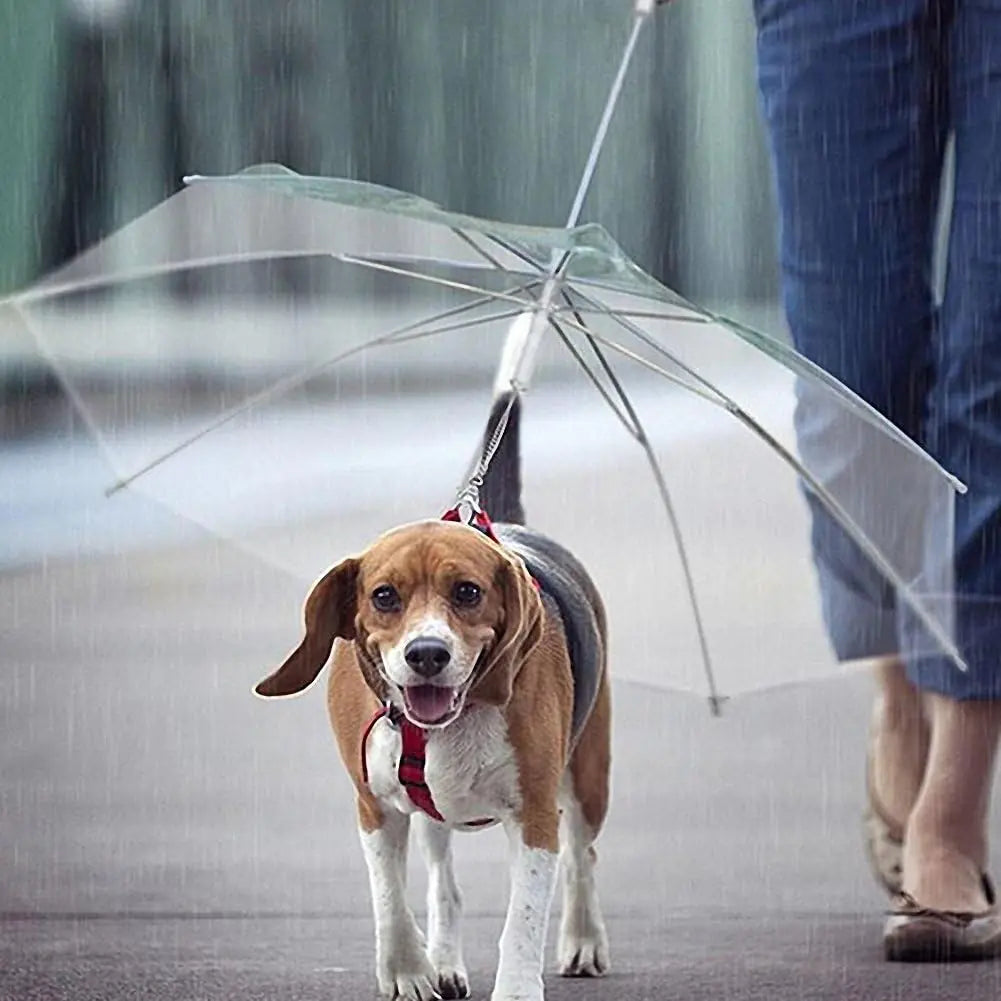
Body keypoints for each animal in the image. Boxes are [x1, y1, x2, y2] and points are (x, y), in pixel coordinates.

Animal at [256, 390, 608, 1001]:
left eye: (467, 592)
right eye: (383, 596)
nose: (426, 654)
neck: (445, 721)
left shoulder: (536, 813)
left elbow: (524, 919)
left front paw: (517, 988)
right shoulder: (373, 805)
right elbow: (390, 899)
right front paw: (407, 971)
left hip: (588, 775)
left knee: (581, 856)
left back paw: (583, 938)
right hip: (431, 816)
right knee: (444, 885)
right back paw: (443, 960)